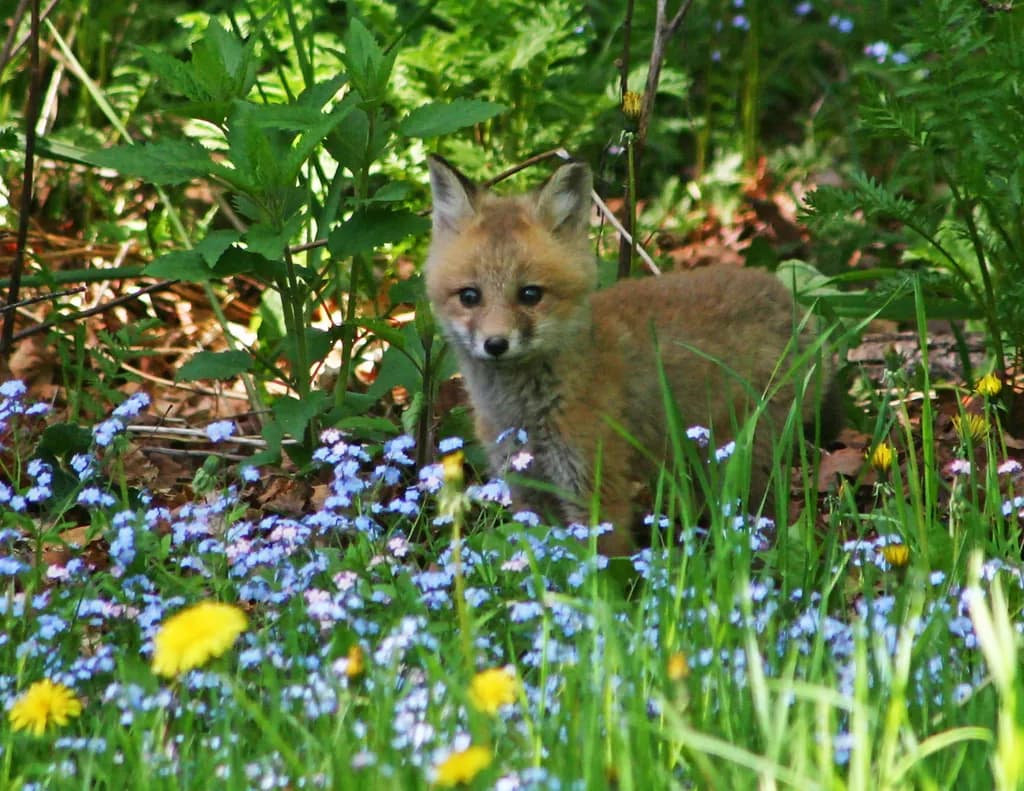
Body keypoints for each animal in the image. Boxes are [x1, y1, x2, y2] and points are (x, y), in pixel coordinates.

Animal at [425, 154, 839, 556]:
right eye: (469, 296)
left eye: (530, 294)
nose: (495, 344)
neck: (525, 414)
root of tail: (788, 297)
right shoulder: (527, 491)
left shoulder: (596, 490)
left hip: (740, 459)